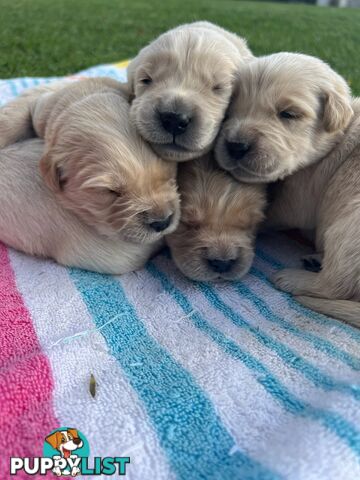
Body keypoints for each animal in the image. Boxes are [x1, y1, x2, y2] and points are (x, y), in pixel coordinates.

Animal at [215, 53, 358, 330]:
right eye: (230, 111)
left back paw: (291, 278)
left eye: (288, 114)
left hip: (348, 229)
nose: (236, 146)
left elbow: (272, 213)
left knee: (335, 286)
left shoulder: (300, 194)